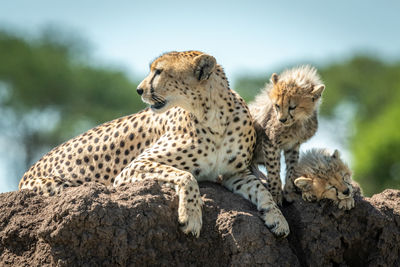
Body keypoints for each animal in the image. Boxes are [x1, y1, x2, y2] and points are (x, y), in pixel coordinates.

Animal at [18, 50, 290, 239]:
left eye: (158, 71)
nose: (139, 90)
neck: (213, 114)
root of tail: (26, 173)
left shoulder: (235, 173)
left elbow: (262, 189)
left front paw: (277, 218)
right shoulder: (134, 167)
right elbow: (186, 176)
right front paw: (191, 216)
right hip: (59, 187)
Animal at [250, 66, 324, 204]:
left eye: (292, 107)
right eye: (277, 105)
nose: (282, 120)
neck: (298, 122)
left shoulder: (293, 145)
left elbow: (292, 168)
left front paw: (288, 191)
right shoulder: (270, 143)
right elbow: (274, 169)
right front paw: (275, 194)